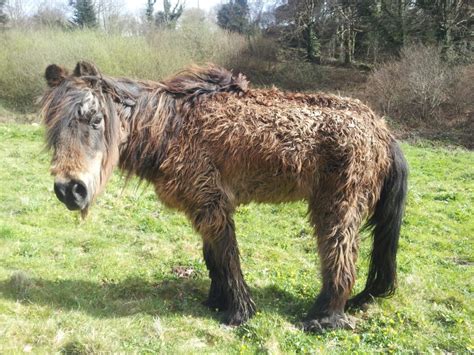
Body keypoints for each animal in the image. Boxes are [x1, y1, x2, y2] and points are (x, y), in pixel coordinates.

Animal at [41, 62, 408, 334]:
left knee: (339, 256)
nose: (69, 190)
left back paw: (323, 318)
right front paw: (217, 301)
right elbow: (213, 257)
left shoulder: (212, 204)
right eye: (51, 125)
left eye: (95, 119)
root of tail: (381, 128)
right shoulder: (203, 205)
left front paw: (239, 312)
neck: (171, 127)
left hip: (337, 205)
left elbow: (227, 256)